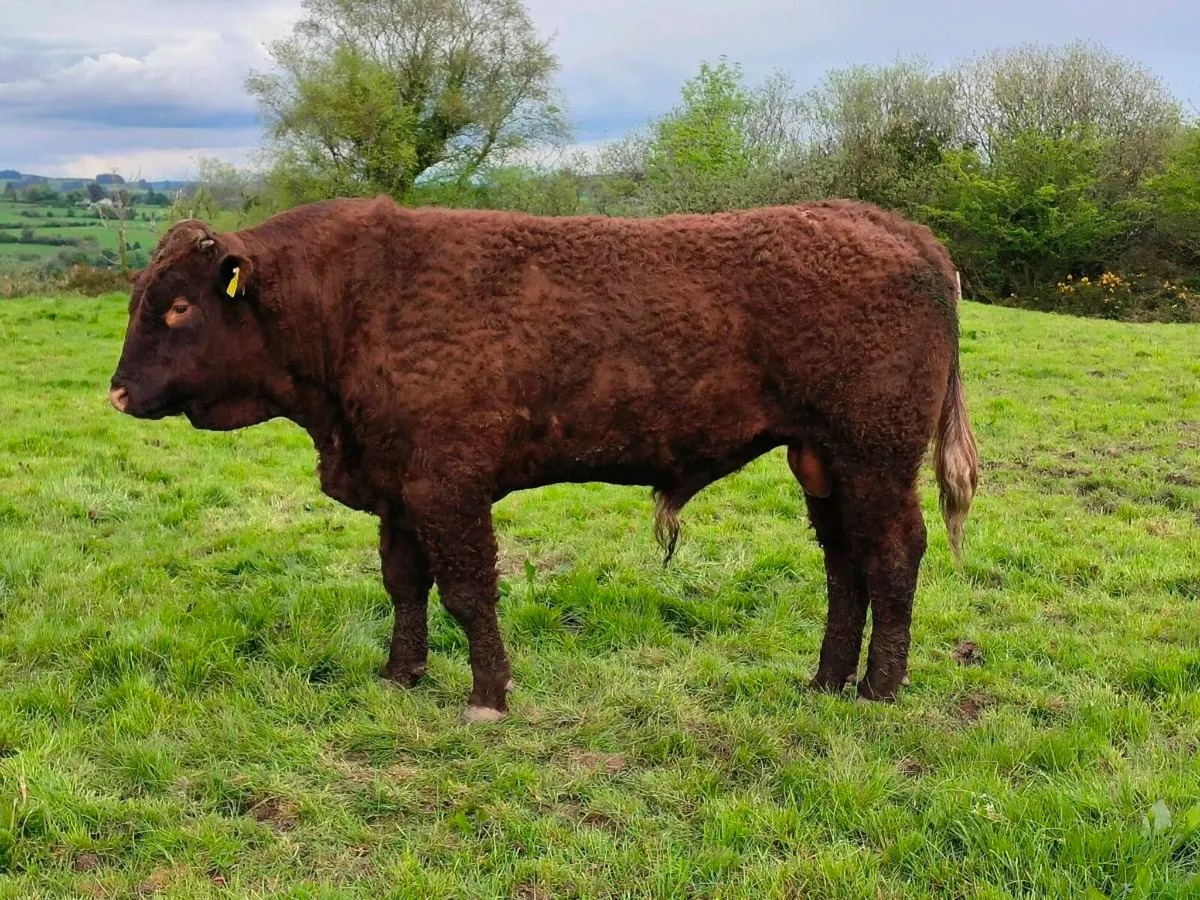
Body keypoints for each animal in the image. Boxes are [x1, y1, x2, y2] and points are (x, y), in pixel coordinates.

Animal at [109, 196, 979, 723]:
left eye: (179, 306)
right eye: (139, 296)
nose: (117, 392)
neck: (354, 302)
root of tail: (886, 223)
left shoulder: (449, 487)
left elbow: (467, 592)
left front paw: (487, 697)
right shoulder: (397, 489)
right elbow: (404, 584)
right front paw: (400, 674)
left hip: (874, 456)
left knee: (893, 557)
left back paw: (877, 690)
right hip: (822, 461)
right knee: (845, 566)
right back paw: (825, 680)